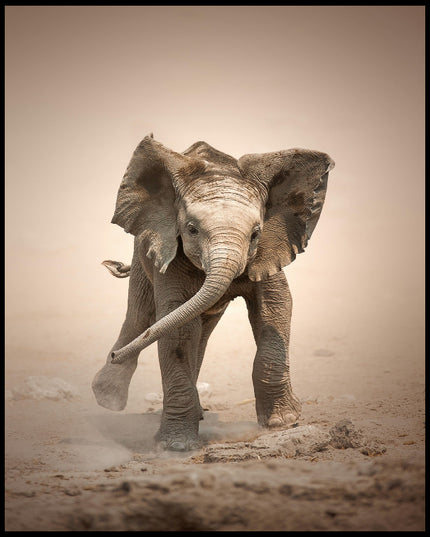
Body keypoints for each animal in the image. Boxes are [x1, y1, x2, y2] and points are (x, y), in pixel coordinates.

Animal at [92, 133, 334, 448]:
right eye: (192, 229)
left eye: (256, 233)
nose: (114, 355)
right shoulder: (170, 253)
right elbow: (175, 327)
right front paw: (177, 447)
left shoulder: (272, 246)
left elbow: (275, 306)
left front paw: (283, 423)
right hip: (143, 250)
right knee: (141, 316)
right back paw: (107, 399)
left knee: (199, 330)